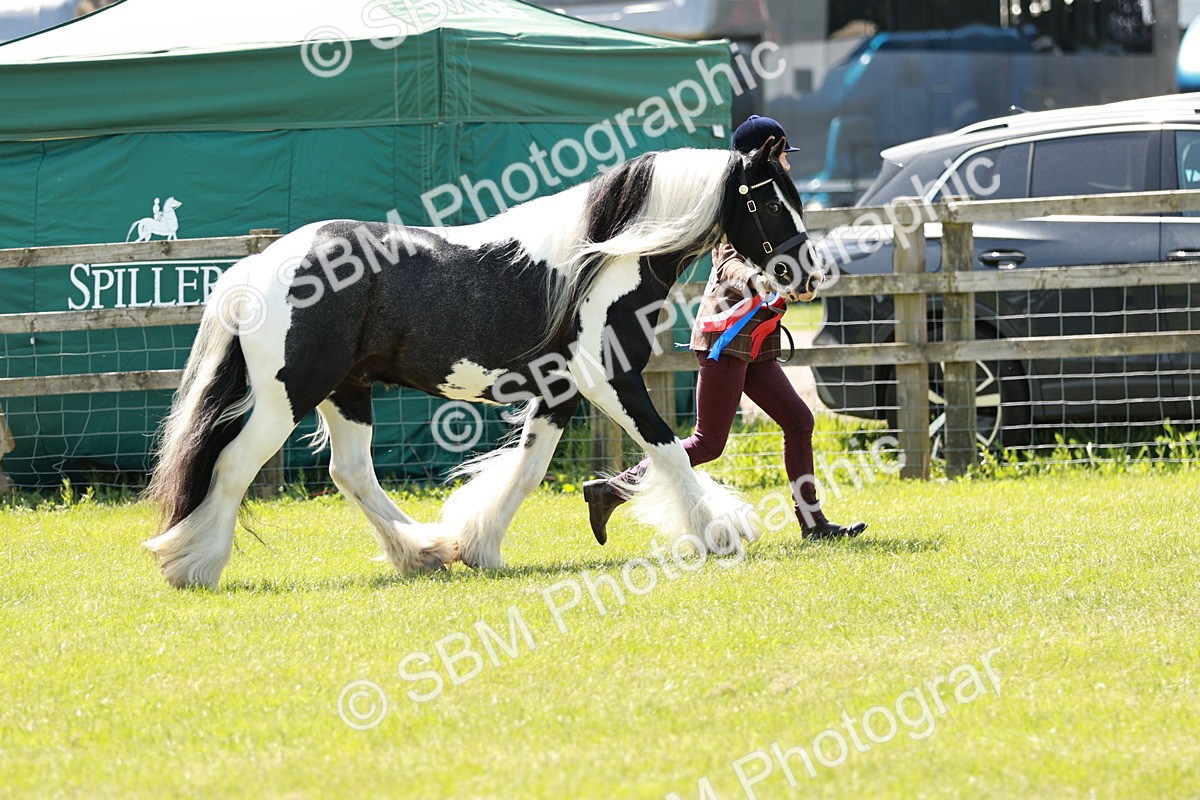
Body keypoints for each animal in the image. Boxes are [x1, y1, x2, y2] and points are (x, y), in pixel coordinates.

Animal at [143, 138, 818, 589]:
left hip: (347, 391)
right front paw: (719, 532)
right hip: (291, 394)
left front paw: (478, 545)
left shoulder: (560, 392)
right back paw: (192, 565)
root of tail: (259, 265)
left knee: (351, 472)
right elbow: (669, 449)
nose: (807, 275)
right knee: (233, 466)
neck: (602, 258)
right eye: (770, 202)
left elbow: (525, 471)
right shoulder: (609, 378)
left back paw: (424, 552)